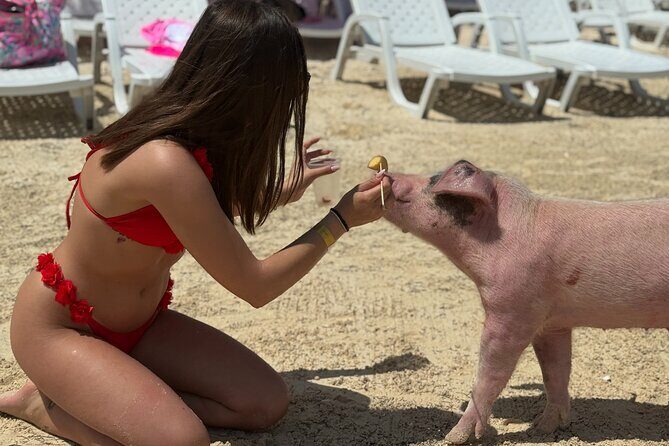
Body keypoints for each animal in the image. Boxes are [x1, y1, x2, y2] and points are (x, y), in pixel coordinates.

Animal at [384, 160, 669, 444]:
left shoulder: (513, 309)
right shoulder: (552, 322)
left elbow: (491, 373)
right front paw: (542, 429)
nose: (387, 174)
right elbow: (555, 371)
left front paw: (453, 437)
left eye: (434, 180)